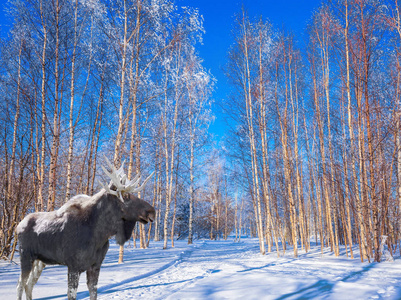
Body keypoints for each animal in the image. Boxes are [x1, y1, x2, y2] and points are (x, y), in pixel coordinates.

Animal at [15, 161, 154, 300]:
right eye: (125, 195)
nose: (152, 211)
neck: (100, 234)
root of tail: (17, 226)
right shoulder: (73, 266)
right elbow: (71, 294)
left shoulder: (95, 265)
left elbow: (93, 292)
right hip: (26, 256)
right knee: (20, 284)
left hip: (40, 262)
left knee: (29, 285)